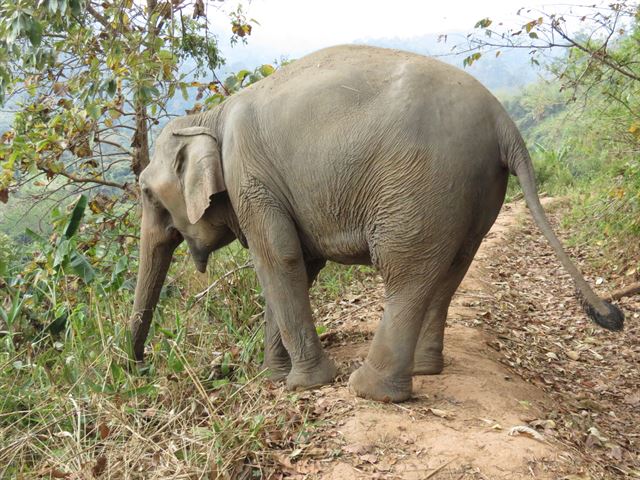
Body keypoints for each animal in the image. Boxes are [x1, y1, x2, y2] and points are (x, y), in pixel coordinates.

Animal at [127, 45, 624, 404]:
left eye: (147, 194)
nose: (140, 367)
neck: (207, 115)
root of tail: (505, 122)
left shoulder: (250, 177)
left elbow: (279, 260)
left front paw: (303, 385)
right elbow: (300, 265)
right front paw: (275, 376)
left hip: (423, 183)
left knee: (405, 271)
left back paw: (370, 390)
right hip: (476, 191)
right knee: (451, 269)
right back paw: (424, 370)